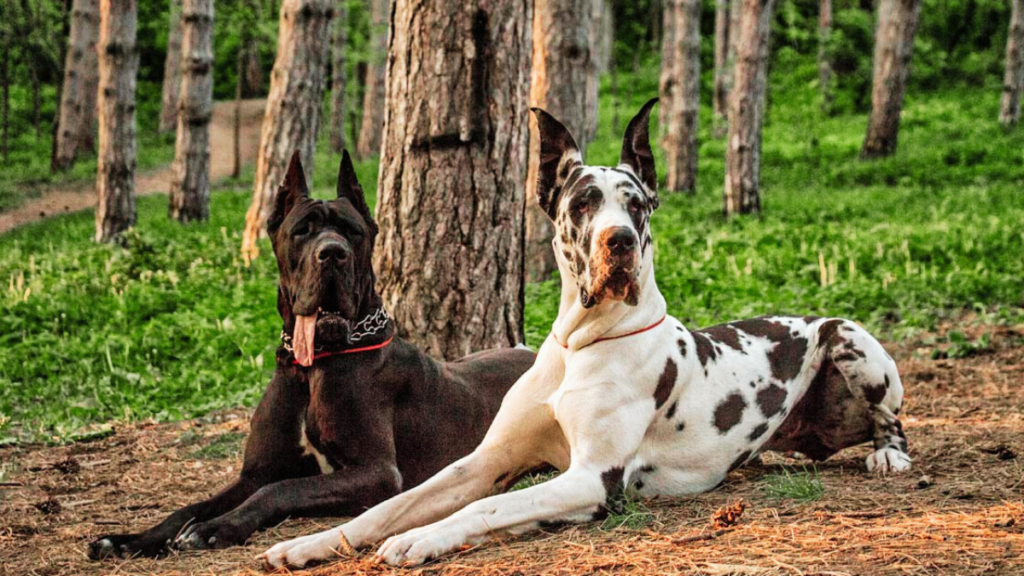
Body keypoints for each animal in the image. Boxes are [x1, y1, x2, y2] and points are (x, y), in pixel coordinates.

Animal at [90, 152, 536, 557]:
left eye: (352, 232)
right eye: (302, 231)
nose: (332, 253)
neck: (312, 367)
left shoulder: (376, 473)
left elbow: (281, 489)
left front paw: (214, 528)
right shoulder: (254, 472)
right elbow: (192, 506)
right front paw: (130, 539)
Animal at [260, 97, 909, 565]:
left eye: (636, 204)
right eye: (582, 202)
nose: (618, 241)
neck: (581, 344)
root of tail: (809, 316)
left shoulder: (591, 479)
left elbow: (485, 510)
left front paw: (421, 539)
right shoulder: (485, 460)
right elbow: (389, 506)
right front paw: (311, 542)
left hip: (854, 341)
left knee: (892, 420)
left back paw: (888, 457)